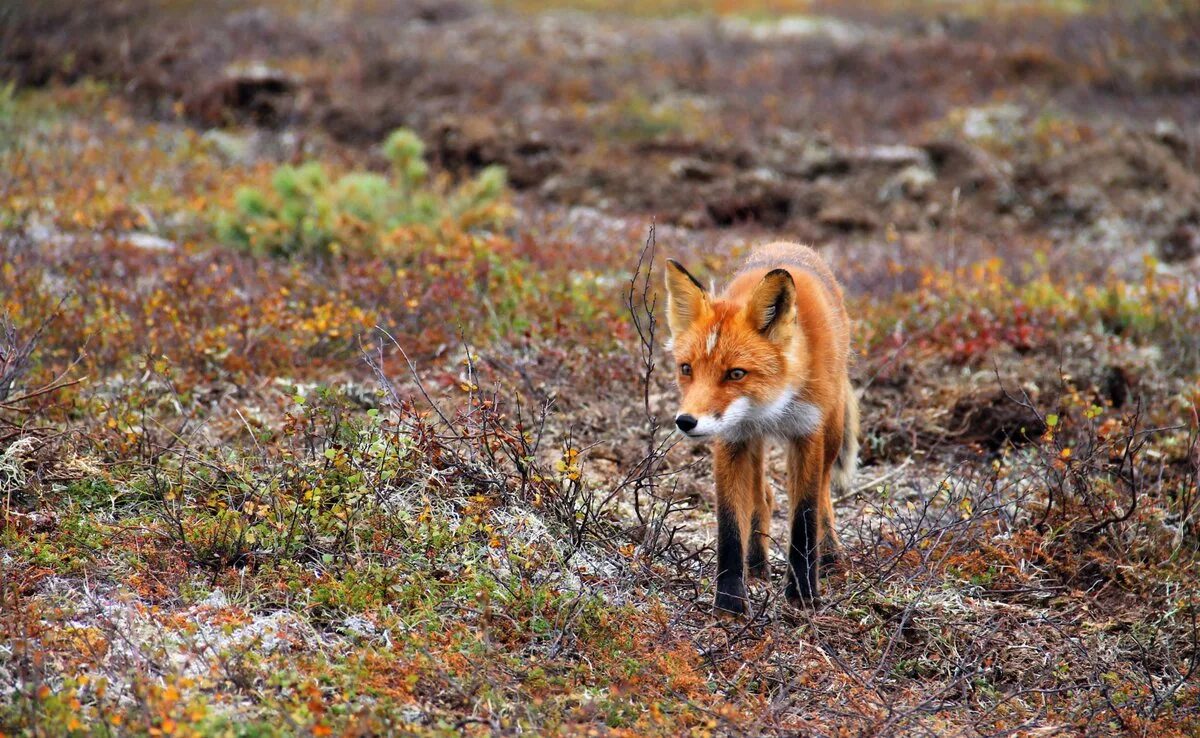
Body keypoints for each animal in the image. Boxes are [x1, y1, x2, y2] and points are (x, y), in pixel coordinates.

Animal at [667, 243, 854, 619]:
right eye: (686, 369)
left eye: (736, 373)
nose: (686, 421)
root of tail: (789, 245)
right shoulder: (731, 439)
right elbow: (729, 526)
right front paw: (729, 602)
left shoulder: (806, 432)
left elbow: (804, 518)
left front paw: (803, 594)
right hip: (752, 443)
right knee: (762, 498)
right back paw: (756, 567)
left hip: (832, 432)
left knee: (824, 492)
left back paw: (829, 556)